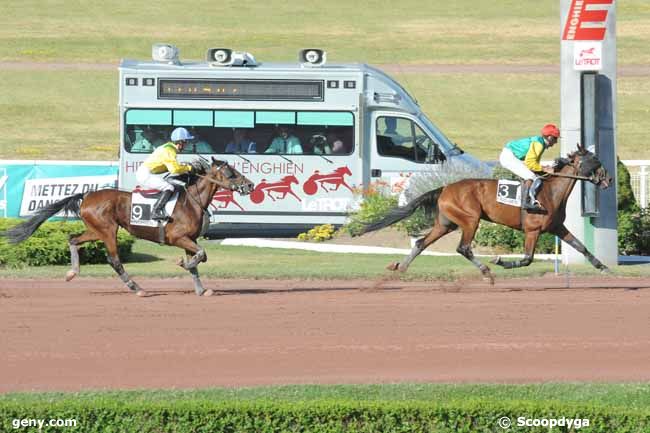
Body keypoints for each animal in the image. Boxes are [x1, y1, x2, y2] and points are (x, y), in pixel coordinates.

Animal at [3, 159, 254, 296]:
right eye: (231, 172)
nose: (250, 185)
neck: (192, 201)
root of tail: (87, 195)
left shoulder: (189, 240)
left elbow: (199, 260)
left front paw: (201, 289)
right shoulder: (178, 237)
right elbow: (201, 255)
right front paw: (183, 264)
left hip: (96, 230)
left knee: (73, 239)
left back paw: (73, 271)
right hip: (108, 231)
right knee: (114, 260)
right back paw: (137, 288)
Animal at [354, 143, 612, 282]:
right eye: (595, 160)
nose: (608, 179)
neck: (550, 191)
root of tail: (445, 188)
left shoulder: (557, 227)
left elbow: (581, 246)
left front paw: (604, 267)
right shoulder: (533, 230)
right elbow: (527, 259)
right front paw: (500, 261)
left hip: (446, 223)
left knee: (420, 243)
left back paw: (401, 267)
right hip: (470, 219)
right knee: (464, 248)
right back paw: (486, 271)